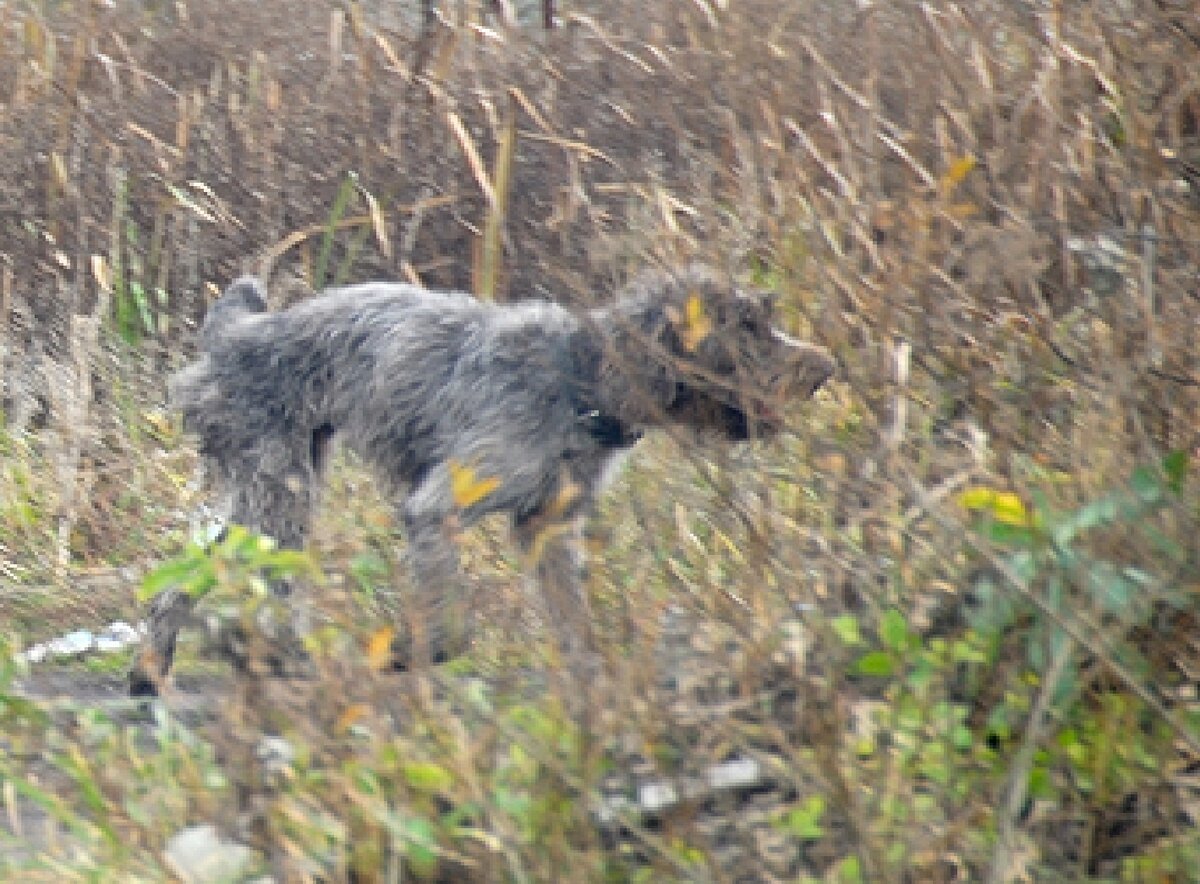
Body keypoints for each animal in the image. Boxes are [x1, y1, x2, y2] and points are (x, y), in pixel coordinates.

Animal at [124, 265, 835, 690]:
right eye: (748, 328)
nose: (824, 365)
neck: (581, 380)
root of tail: (233, 334)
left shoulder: (547, 528)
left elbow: (573, 622)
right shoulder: (436, 510)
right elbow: (451, 626)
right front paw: (408, 654)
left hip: (278, 498)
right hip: (276, 494)